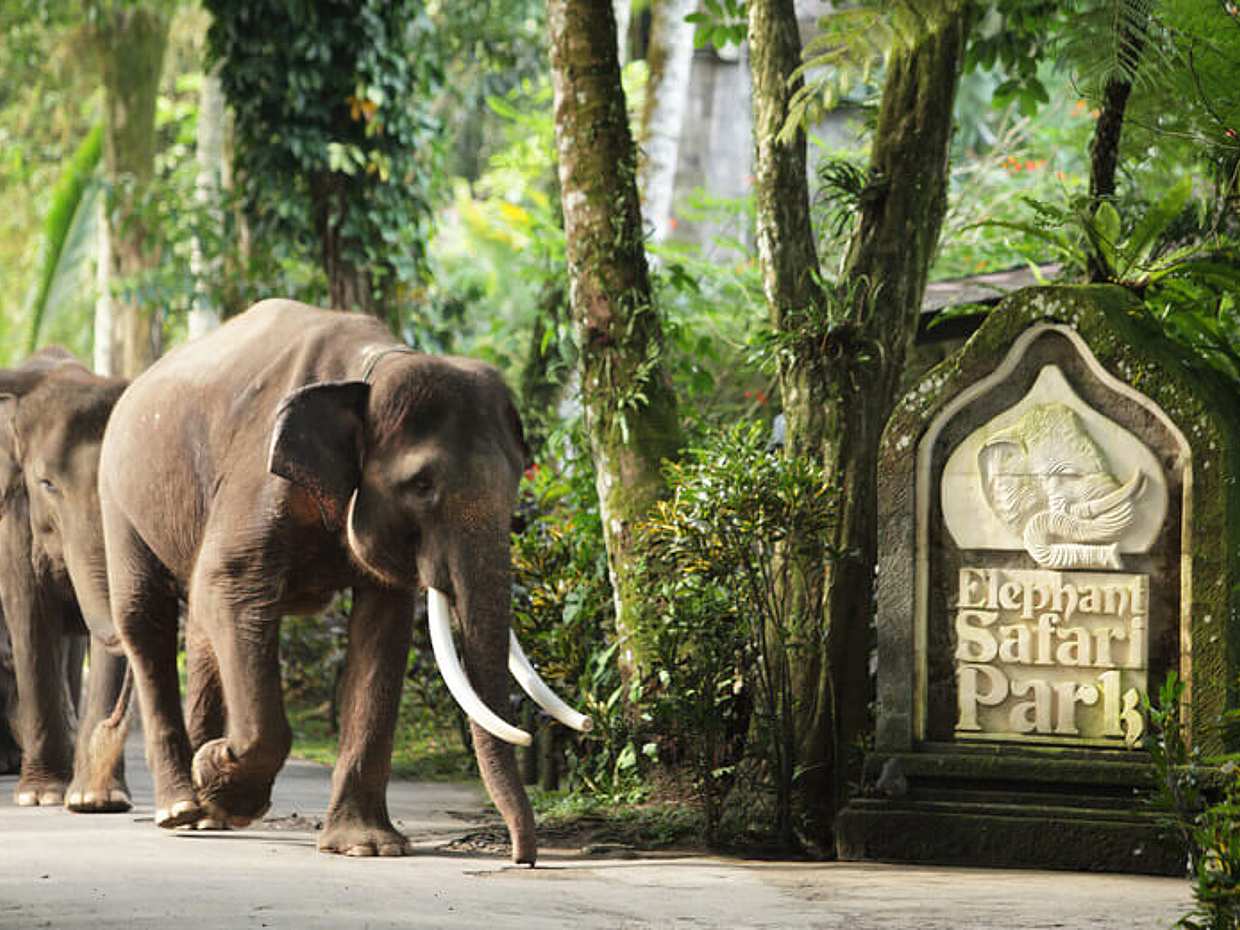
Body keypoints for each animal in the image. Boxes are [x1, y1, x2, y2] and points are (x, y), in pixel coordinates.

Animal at [99, 299, 589, 860]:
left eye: (516, 481)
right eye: (422, 485)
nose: (522, 856)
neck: (372, 369)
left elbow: (382, 623)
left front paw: (366, 847)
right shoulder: (256, 476)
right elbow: (232, 584)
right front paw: (223, 781)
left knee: (200, 630)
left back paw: (204, 813)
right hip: (117, 495)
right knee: (146, 620)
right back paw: (181, 807)